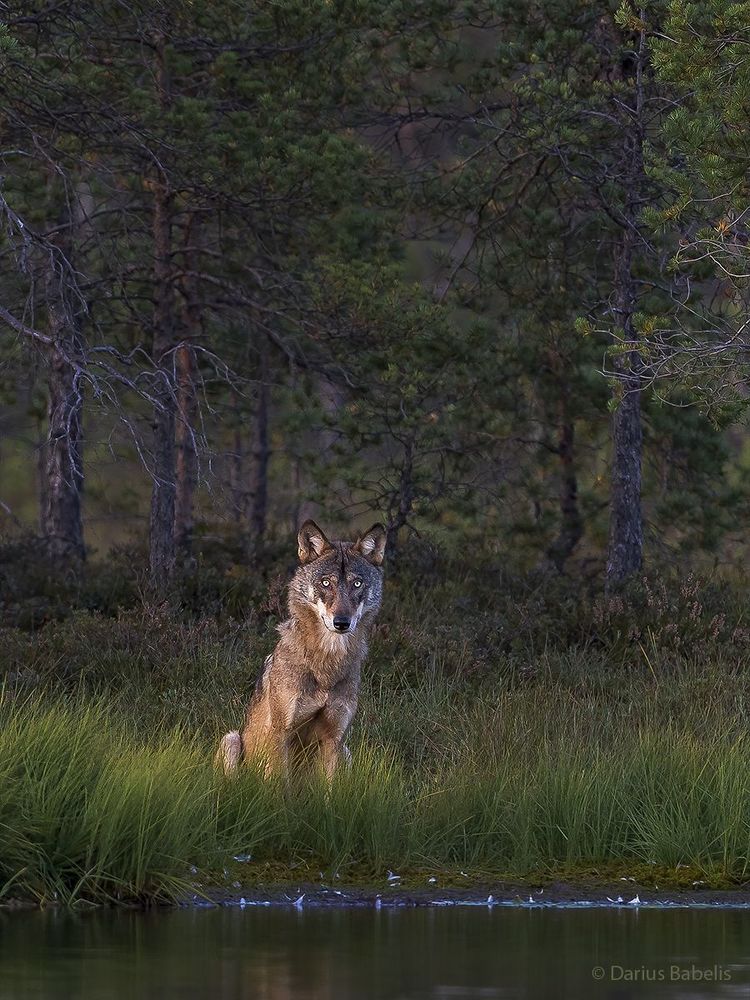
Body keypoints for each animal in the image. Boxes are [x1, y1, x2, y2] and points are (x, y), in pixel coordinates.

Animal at [216, 519, 386, 781]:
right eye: (325, 583)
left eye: (357, 583)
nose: (342, 622)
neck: (326, 664)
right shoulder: (282, 732)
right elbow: (279, 784)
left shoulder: (335, 739)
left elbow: (329, 788)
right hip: (231, 739)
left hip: (346, 752)